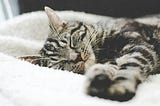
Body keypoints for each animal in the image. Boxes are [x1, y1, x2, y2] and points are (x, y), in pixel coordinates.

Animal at [20, 6, 160, 101]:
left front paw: (119, 87)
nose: (77, 58)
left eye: (70, 42)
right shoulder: (111, 60)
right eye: (61, 63)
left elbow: (130, 66)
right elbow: (106, 68)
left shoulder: (138, 45)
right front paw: (98, 79)